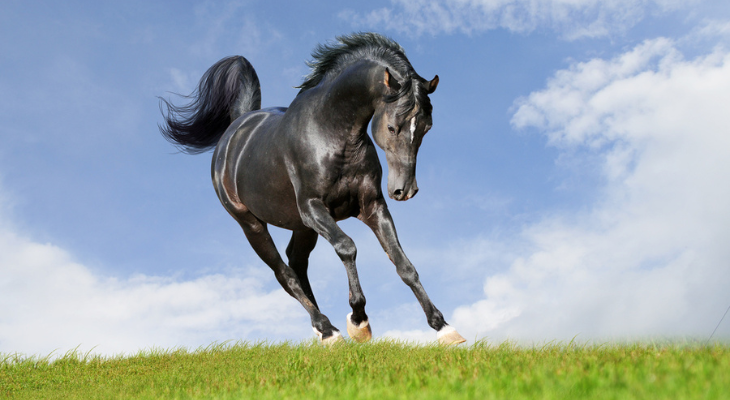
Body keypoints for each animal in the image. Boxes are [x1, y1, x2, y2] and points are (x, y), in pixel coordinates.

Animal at [161, 32, 464, 346]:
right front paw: (359, 321)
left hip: (301, 226)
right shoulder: (313, 208)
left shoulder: (372, 206)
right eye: (393, 127)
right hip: (252, 224)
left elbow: (403, 264)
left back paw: (323, 329)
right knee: (284, 273)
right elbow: (347, 247)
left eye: (427, 127)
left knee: (296, 263)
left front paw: (443, 327)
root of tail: (235, 129)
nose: (404, 190)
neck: (331, 133)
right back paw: (328, 329)